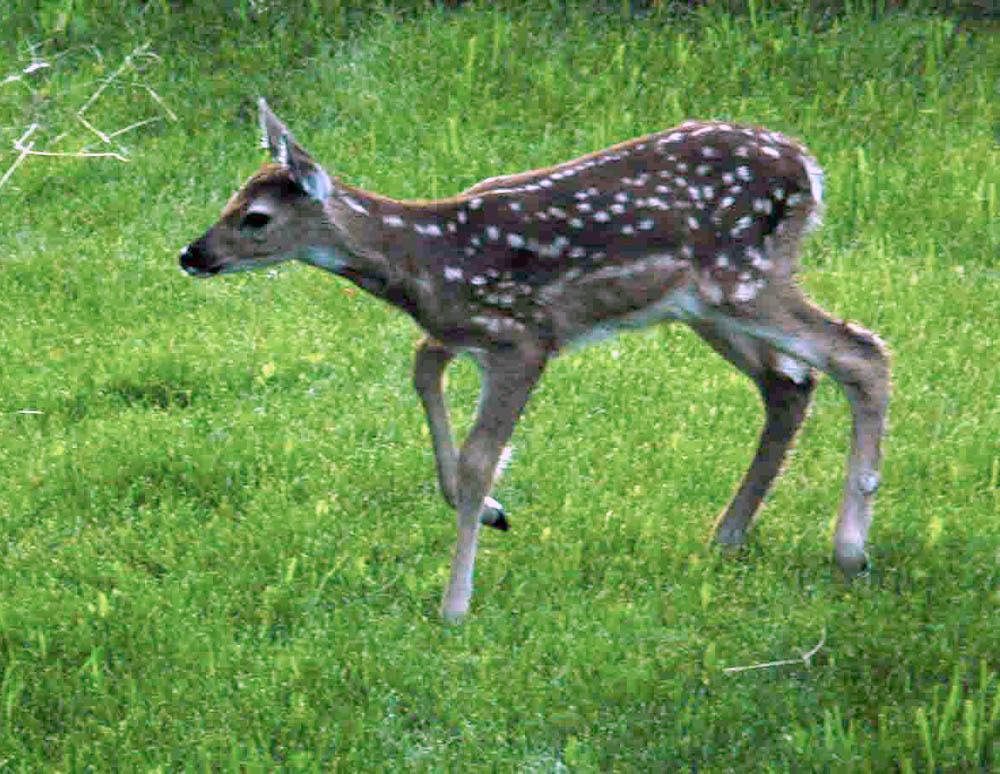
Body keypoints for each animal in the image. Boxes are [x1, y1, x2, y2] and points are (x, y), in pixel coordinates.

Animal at [180, 98, 889, 623]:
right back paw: (729, 535)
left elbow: (476, 457)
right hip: (703, 305)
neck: (424, 262)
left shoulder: (525, 337)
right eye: (230, 200)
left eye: (255, 217)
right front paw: (493, 514)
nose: (191, 254)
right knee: (790, 382)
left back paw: (850, 551)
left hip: (741, 278)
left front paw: (455, 604)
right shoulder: (467, 332)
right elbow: (422, 369)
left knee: (859, 353)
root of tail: (810, 168)